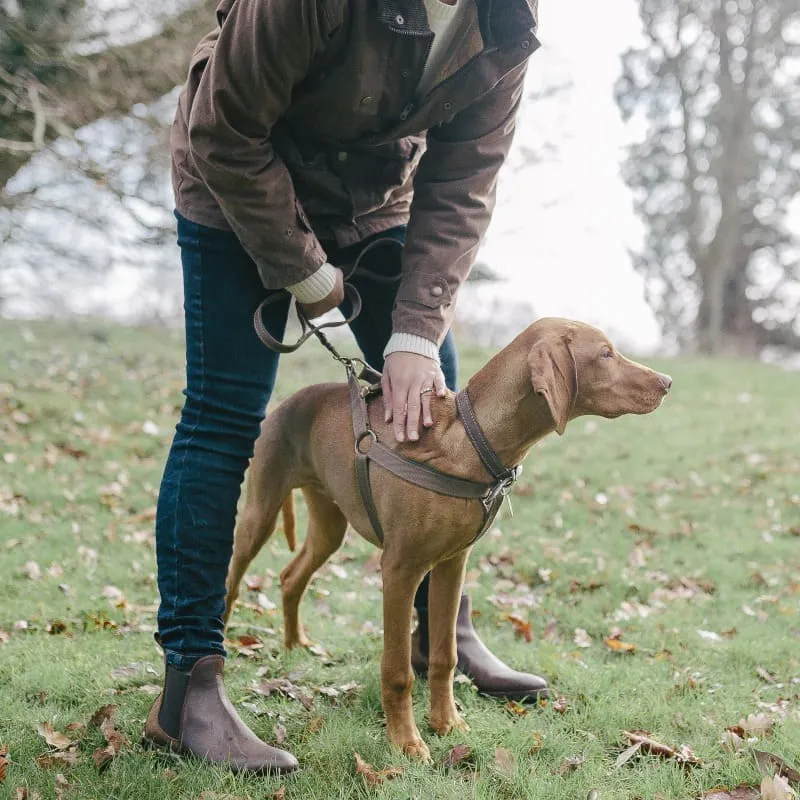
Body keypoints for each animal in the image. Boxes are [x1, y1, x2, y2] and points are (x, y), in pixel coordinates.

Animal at [223, 316, 668, 760]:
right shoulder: (399, 570)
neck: (472, 439)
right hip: (260, 512)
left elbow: (444, 655)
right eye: (606, 354)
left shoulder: (452, 565)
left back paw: (295, 643)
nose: (667, 382)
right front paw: (405, 742)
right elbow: (398, 669)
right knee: (232, 579)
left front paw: (446, 723)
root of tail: (292, 399)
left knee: (291, 577)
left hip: (330, 525)